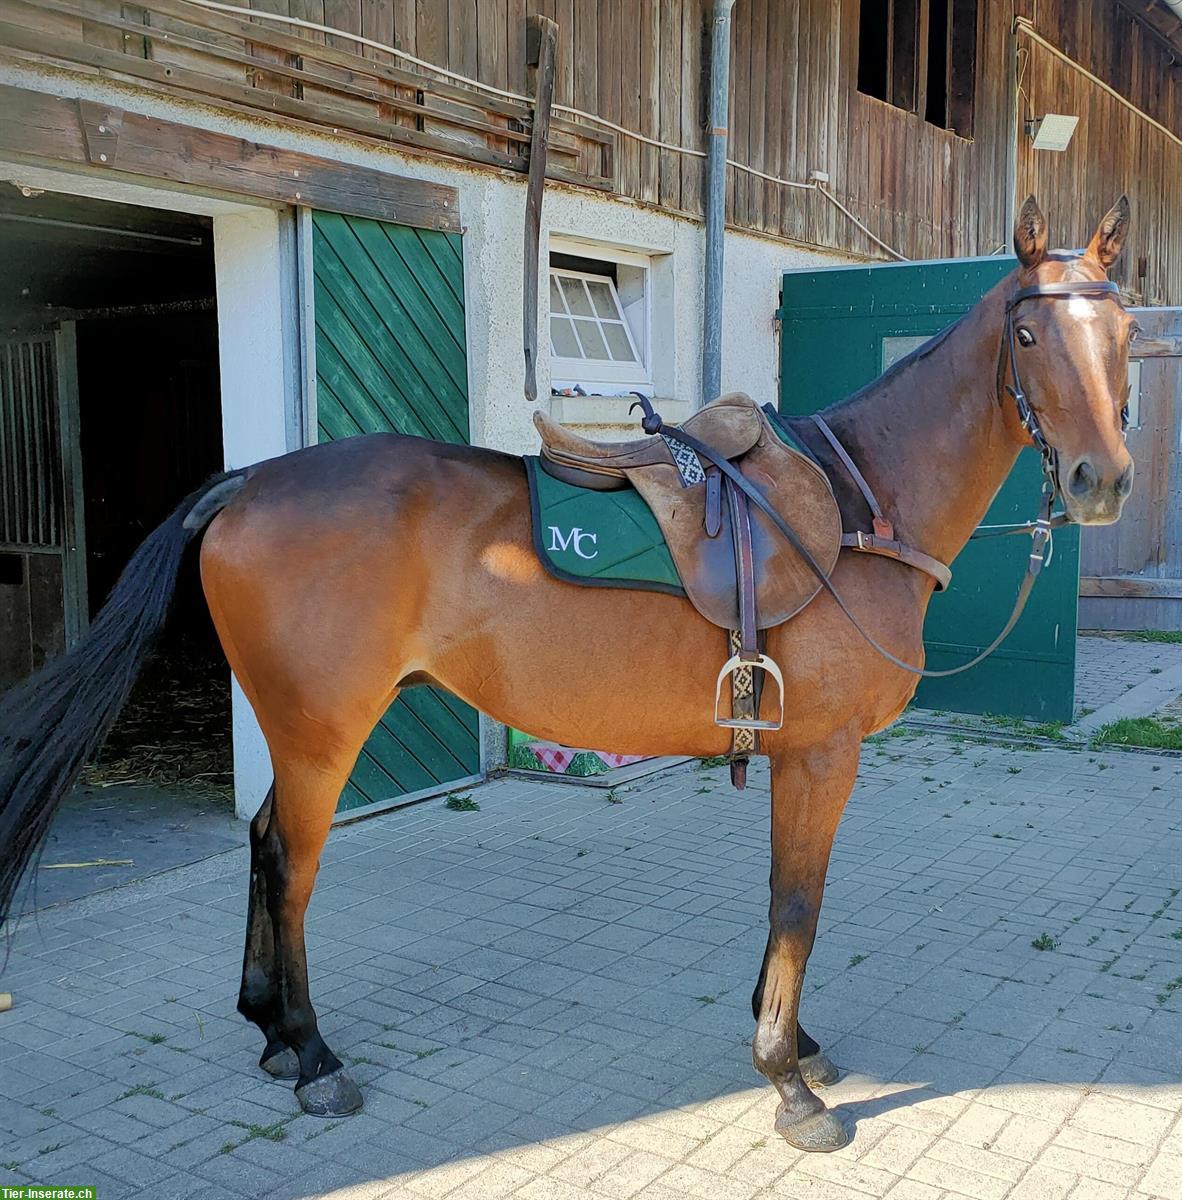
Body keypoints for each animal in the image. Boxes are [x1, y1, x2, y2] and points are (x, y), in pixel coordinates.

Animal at [0, 199, 1128, 1152]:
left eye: (1125, 337)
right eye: (1031, 338)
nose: (1101, 481)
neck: (857, 510)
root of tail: (247, 485)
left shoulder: (797, 754)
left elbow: (786, 903)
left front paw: (790, 1044)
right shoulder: (821, 754)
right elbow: (798, 902)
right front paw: (786, 1078)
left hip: (303, 724)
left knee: (262, 840)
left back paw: (273, 1032)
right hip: (324, 729)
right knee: (289, 862)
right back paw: (313, 1054)